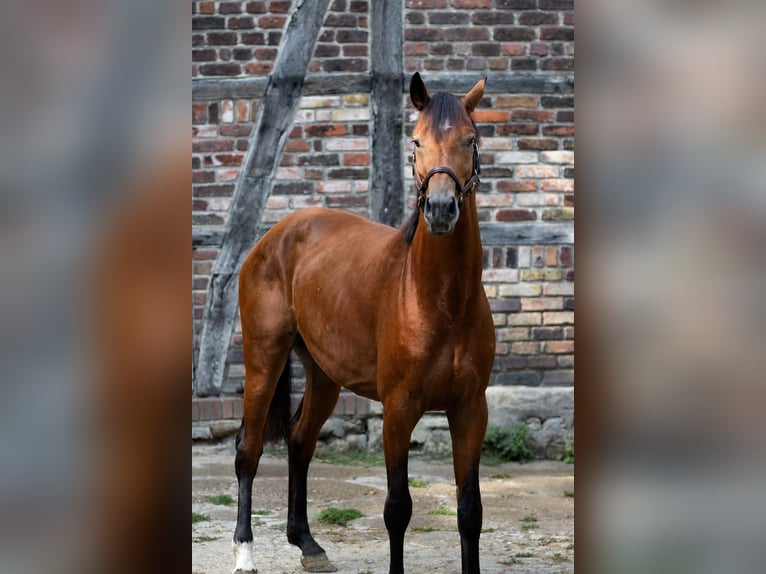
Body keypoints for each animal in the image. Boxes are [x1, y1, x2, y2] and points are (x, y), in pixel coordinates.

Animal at [233, 72, 496, 574]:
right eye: (416, 141)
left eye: (470, 141)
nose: (440, 209)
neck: (439, 301)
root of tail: (275, 235)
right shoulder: (398, 409)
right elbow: (397, 508)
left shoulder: (471, 409)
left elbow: (470, 509)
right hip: (263, 359)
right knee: (248, 450)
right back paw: (243, 554)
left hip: (323, 375)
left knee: (299, 441)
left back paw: (308, 544)